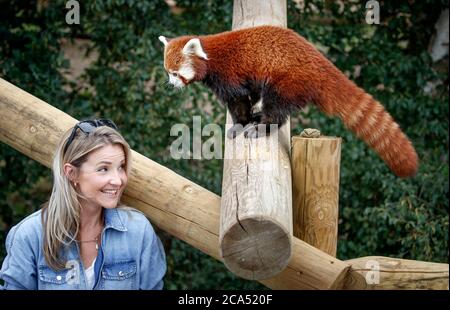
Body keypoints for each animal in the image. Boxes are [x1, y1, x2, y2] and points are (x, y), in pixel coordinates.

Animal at [158, 25, 418, 178]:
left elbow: (238, 101)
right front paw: (251, 113)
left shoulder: (230, 76)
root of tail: (321, 64)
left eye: (176, 73)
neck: (211, 57)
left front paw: (241, 123)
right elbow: (252, 94)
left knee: (277, 109)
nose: (171, 85)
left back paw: (262, 126)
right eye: (168, 72)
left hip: (287, 80)